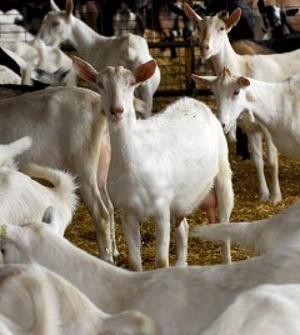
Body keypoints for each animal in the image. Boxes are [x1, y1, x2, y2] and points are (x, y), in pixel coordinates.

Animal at [74, 57, 233, 270]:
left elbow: (161, 261)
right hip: (178, 199)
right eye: (100, 84)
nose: (117, 110)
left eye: (132, 83)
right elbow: (134, 262)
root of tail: (195, 102)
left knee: (224, 227)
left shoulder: (161, 207)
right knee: (183, 228)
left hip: (223, 174)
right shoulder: (127, 211)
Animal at [183, 4, 300, 205]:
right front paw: (263, 194)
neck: (241, 67)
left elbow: (272, 161)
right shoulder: (249, 127)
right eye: (198, 26)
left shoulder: (269, 126)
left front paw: (276, 196)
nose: (204, 47)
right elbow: (257, 161)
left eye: (222, 28)